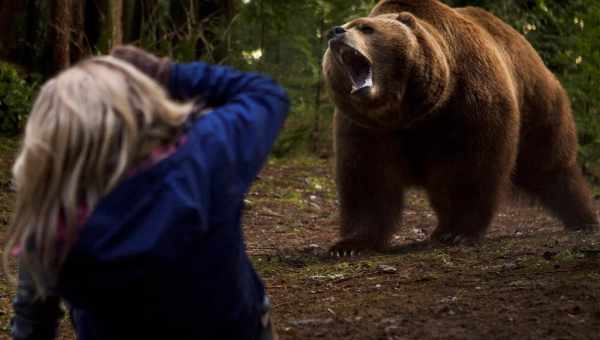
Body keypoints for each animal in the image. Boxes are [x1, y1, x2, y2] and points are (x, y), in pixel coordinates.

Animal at [324, 0, 600, 255]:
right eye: (349, 24)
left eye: (366, 27)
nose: (334, 32)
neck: (409, 112)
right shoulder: (366, 127)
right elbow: (367, 179)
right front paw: (349, 244)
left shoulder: (469, 103)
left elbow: (472, 168)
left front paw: (459, 232)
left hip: (537, 103)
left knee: (551, 165)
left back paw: (583, 218)